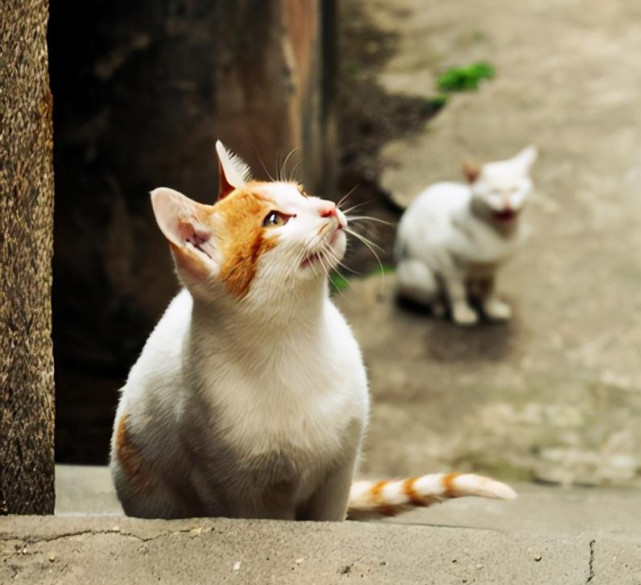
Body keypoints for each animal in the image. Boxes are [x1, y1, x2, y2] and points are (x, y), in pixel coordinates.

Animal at [110, 141, 516, 520]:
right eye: (274, 220)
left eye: (303, 193)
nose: (328, 207)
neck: (294, 339)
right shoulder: (232, 492)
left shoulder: (339, 473)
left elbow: (330, 516)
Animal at [396, 146, 536, 326]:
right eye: (494, 192)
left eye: (515, 189)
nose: (507, 204)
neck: (501, 233)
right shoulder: (447, 263)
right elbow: (457, 292)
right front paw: (462, 313)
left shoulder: (491, 268)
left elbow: (490, 289)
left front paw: (492, 309)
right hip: (418, 274)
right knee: (432, 296)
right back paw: (440, 307)